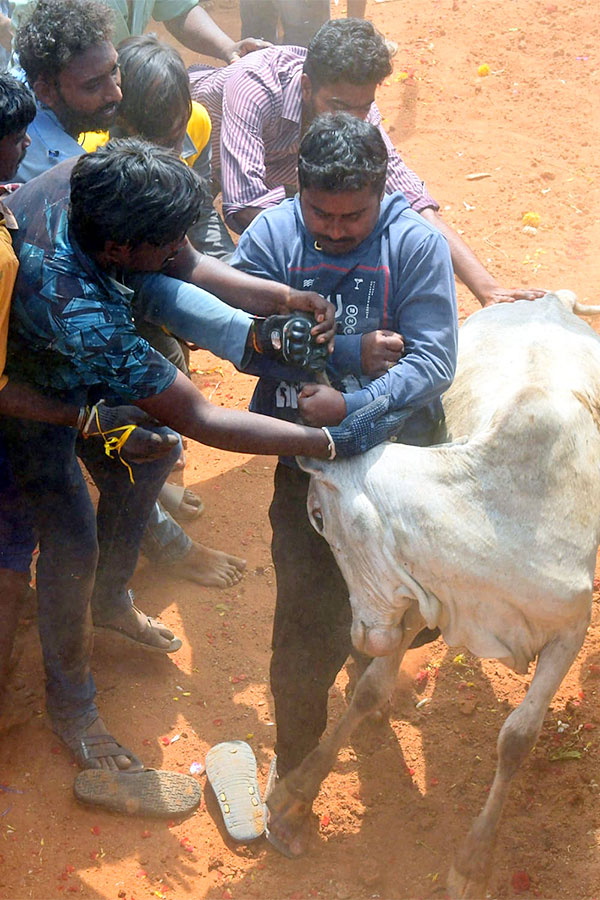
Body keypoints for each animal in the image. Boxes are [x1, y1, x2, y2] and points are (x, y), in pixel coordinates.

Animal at [284, 292, 600, 896]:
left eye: (317, 515)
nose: (361, 635)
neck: (490, 514)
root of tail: (553, 299)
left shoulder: (571, 630)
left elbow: (517, 738)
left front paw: (473, 861)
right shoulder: (418, 594)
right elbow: (369, 691)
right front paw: (297, 793)